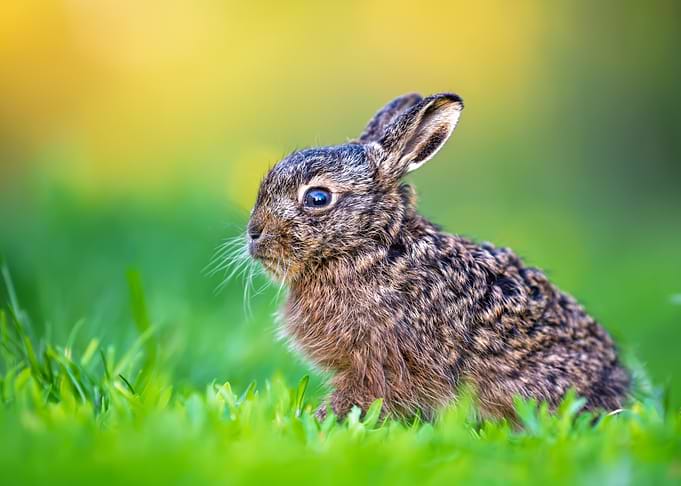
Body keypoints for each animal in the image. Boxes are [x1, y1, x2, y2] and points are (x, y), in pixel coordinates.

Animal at [246, 92, 630, 421]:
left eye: (318, 198)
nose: (253, 233)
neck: (368, 248)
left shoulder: (376, 364)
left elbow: (357, 398)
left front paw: (320, 420)